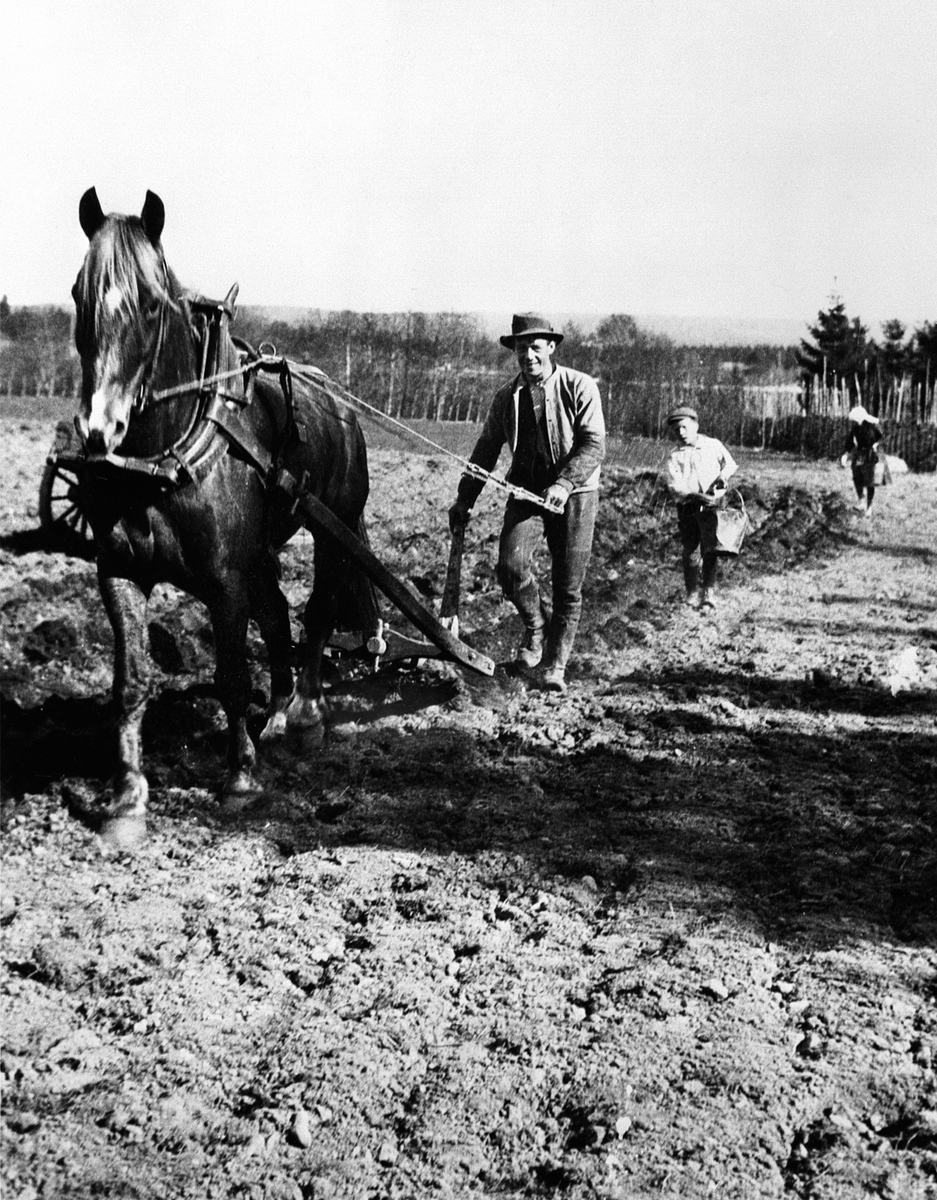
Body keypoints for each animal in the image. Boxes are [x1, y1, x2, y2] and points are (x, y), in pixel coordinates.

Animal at [70, 184, 379, 844]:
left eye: (151, 304)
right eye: (79, 293)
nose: (101, 429)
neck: (163, 455)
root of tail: (340, 404)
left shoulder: (225, 579)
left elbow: (232, 675)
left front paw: (239, 778)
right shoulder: (120, 575)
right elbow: (131, 682)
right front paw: (127, 800)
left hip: (334, 526)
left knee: (315, 615)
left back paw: (307, 714)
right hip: (263, 548)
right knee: (281, 615)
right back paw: (280, 713)